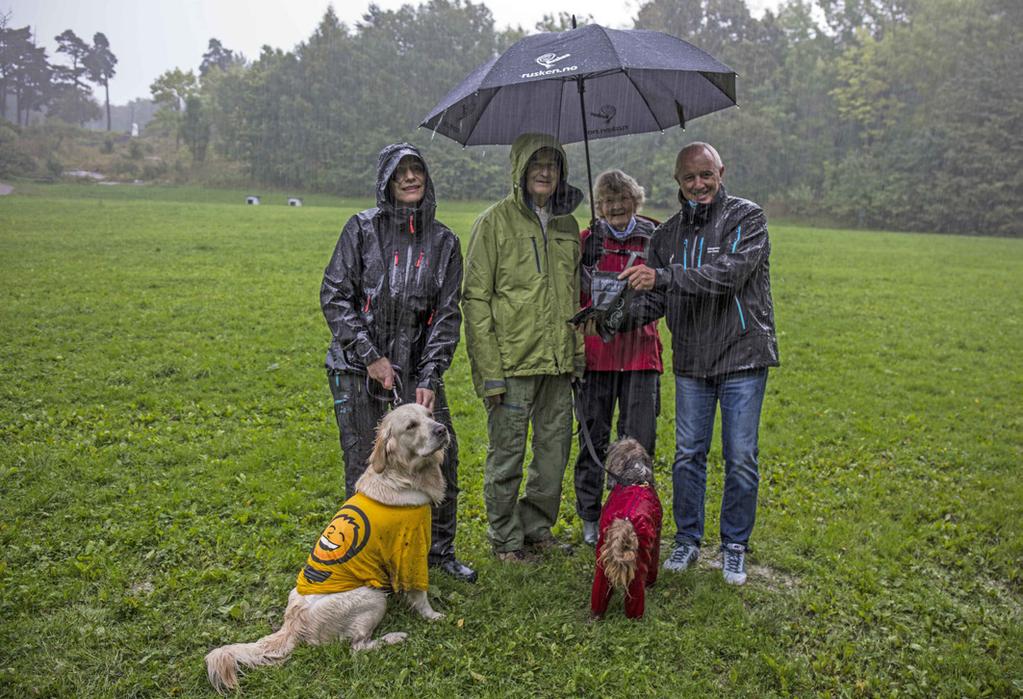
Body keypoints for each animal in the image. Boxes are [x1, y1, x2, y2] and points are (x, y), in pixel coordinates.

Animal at [203, 405, 448, 695]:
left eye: (430, 414)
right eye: (411, 426)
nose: (442, 429)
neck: (404, 475)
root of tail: (292, 624)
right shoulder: (411, 547)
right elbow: (420, 593)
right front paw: (433, 616)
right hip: (372, 597)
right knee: (357, 648)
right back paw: (393, 637)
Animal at [593, 440, 662, 622]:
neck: (637, 477)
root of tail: (625, 523)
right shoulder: (657, 535)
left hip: (603, 559)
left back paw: (596, 616)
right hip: (640, 560)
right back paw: (636, 620)